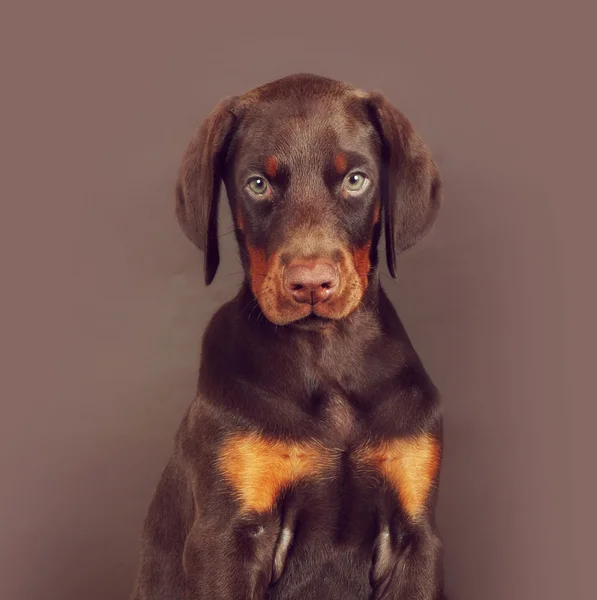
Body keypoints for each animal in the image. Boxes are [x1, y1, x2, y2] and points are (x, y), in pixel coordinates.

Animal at [132, 72, 448, 596]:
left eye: (356, 179)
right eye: (258, 184)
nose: (311, 283)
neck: (326, 355)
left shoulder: (416, 538)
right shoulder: (225, 539)